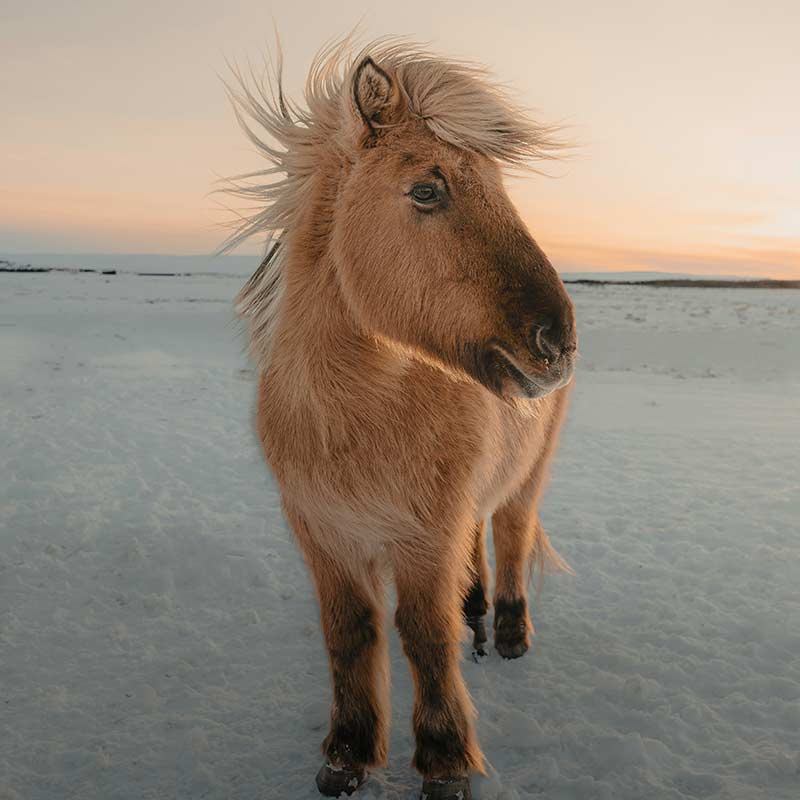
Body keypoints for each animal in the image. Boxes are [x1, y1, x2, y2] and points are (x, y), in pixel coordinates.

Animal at [222, 37, 580, 800]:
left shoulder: (424, 539)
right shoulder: (323, 535)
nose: (558, 341)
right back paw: (477, 618)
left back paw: (508, 634)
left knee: (510, 536)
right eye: (426, 190)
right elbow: (350, 633)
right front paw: (347, 755)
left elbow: (422, 635)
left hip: (527, 479)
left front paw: (444, 763)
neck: (354, 421)